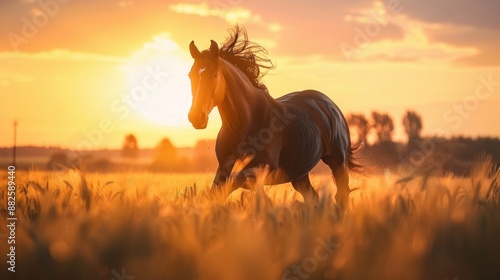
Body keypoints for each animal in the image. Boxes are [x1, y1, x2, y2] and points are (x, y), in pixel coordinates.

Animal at [187, 26, 360, 209]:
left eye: (214, 75)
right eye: (190, 75)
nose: (196, 117)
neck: (242, 126)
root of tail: (329, 105)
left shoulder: (265, 168)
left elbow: (239, 179)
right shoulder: (223, 170)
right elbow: (216, 194)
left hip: (338, 163)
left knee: (341, 195)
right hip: (299, 173)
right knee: (313, 196)